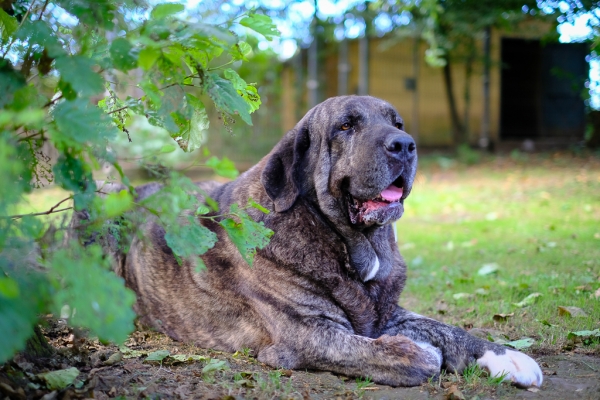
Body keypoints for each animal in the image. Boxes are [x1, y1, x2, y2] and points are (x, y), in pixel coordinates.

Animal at [86, 95, 540, 386]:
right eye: (346, 125)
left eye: (397, 124)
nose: (405, 145)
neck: (353, 247)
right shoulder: (306, 333)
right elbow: (400, 355)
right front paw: (415, 352)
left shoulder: (387, 311)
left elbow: (448, 329)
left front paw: (508, 357)